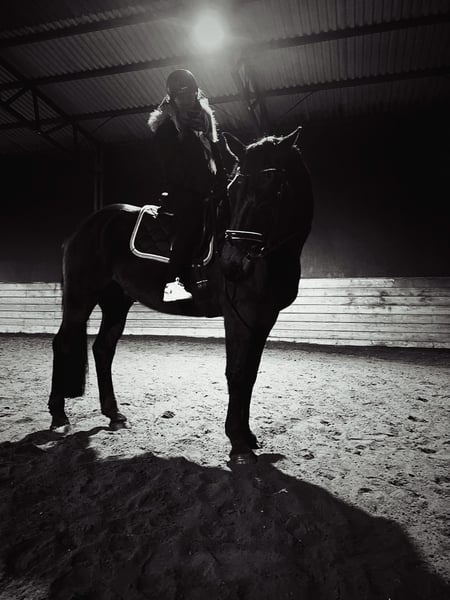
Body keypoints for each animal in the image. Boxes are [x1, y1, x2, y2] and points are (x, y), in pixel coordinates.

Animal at [48, 127, 313, 464]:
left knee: (103, 349)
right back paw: (59, 417)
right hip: (80, 297)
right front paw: (238, 442)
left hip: (116, 302)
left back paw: (114, 414)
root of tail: (86, 227)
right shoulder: (238, 315)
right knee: (63, 343)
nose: (232, 264)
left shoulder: (263, 318)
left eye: (274, 187)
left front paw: (249, 436)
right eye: (235, 189)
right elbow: (237, 373)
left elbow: (250, 374)